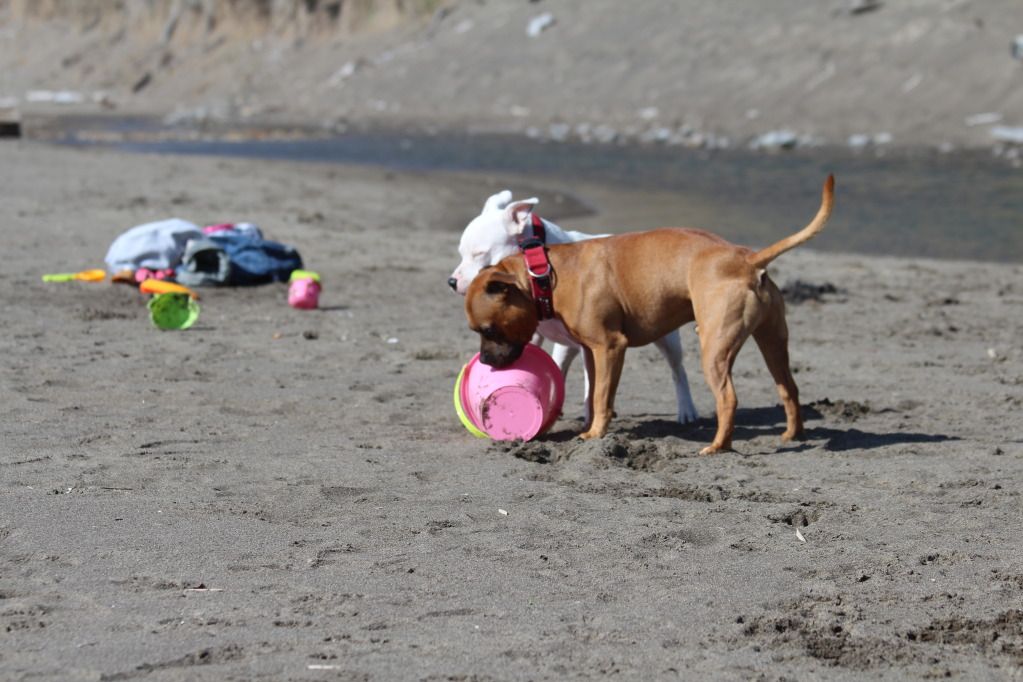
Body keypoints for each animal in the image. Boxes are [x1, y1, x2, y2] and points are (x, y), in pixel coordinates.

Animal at [450, 192, 703, 423]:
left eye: (479, 253)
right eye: (461, 253)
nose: (451, 281)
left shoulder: (586, 343)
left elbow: (590, 383)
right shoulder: (534, 334)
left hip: (666, 335)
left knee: (677, 369)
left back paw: (687, 409)